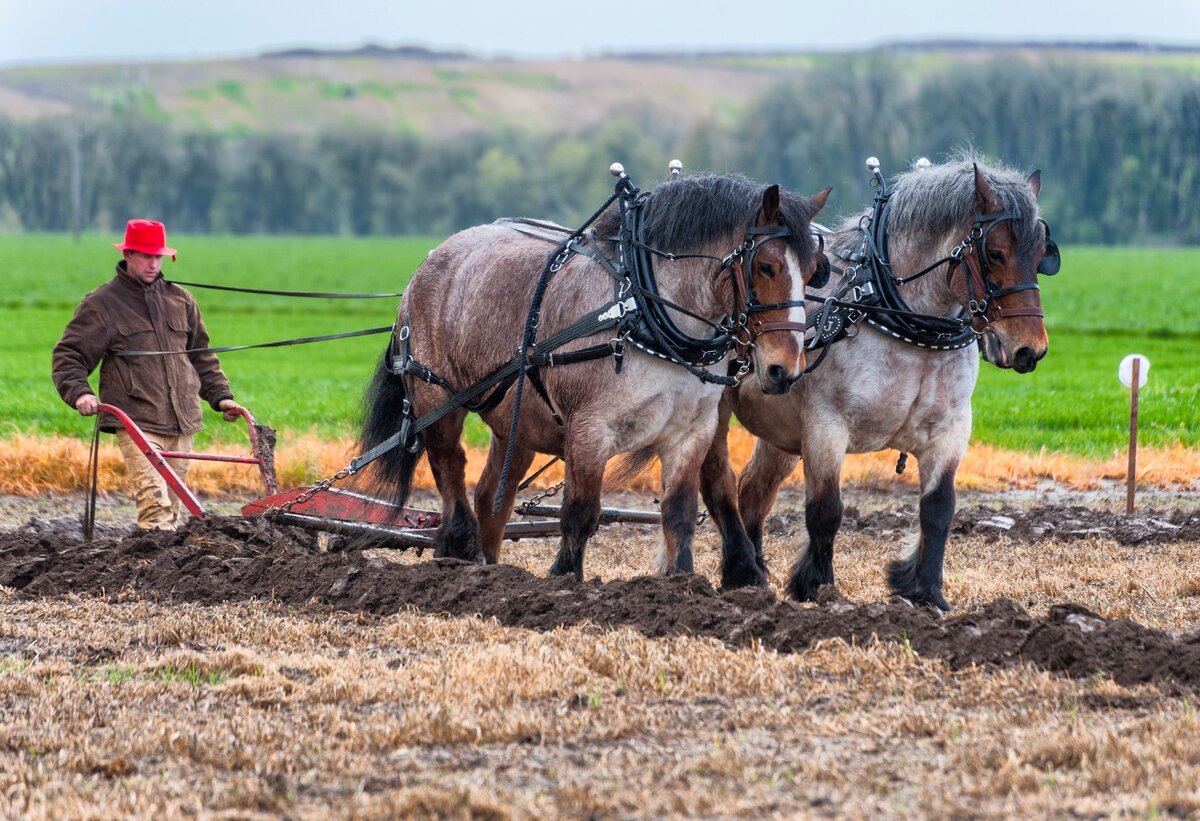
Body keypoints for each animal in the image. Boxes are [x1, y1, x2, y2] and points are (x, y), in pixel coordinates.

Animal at [355, 170, 830, 580]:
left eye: (813, 272)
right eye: (766, 266)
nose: (785, 369)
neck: (639, 309)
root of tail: (427, 263)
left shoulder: (691, 431)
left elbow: (678, 512)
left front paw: (682, 581)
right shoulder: (589, 429)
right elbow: (581, 512)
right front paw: (565, 577)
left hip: (516, 423)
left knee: (492, 496)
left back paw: (492, 568)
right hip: (435, 399)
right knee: (450, 469)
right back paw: (458, 549)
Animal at [700, 153, 1060, 604]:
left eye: (1041, 252)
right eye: (995, 253)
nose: (1031, 349)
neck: (905, 326)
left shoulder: (951, 430)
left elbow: (939, 509)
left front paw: (928, 593)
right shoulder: (825, 426)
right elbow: (825, 511)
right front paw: (818, 586)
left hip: (780, 428)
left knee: (753, 491)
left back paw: (755, 571)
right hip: (714, 410)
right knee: (718, 483)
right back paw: (741, 570)